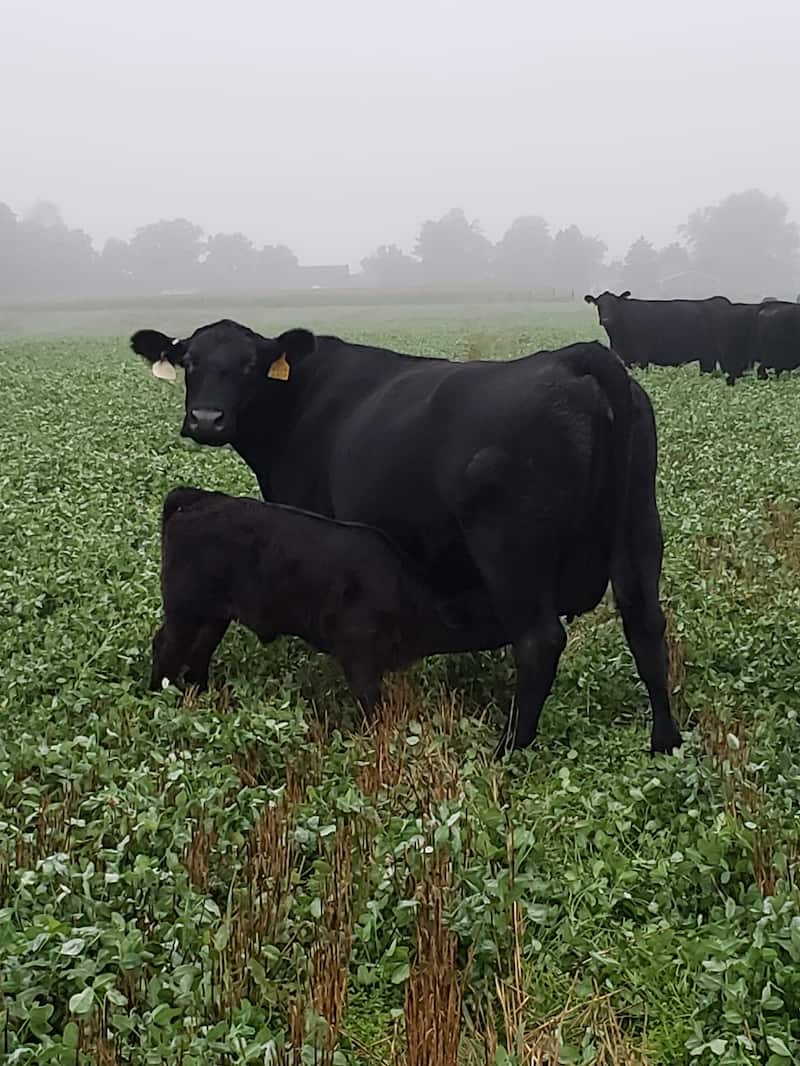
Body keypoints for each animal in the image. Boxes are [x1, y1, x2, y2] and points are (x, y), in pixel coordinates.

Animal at [151, 486, 503, 707]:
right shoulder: (358, 653)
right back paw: (156, 696)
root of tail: (201, 499)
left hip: (214, 615)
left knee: (198, 653)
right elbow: (373, 707)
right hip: (185, 610)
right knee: (166, 647)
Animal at [584, 292, 721, 375]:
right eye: (598, 305)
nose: (606, 320)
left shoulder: (642, 357)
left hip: (708, 356)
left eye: (614, 304)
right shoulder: (627, 359)